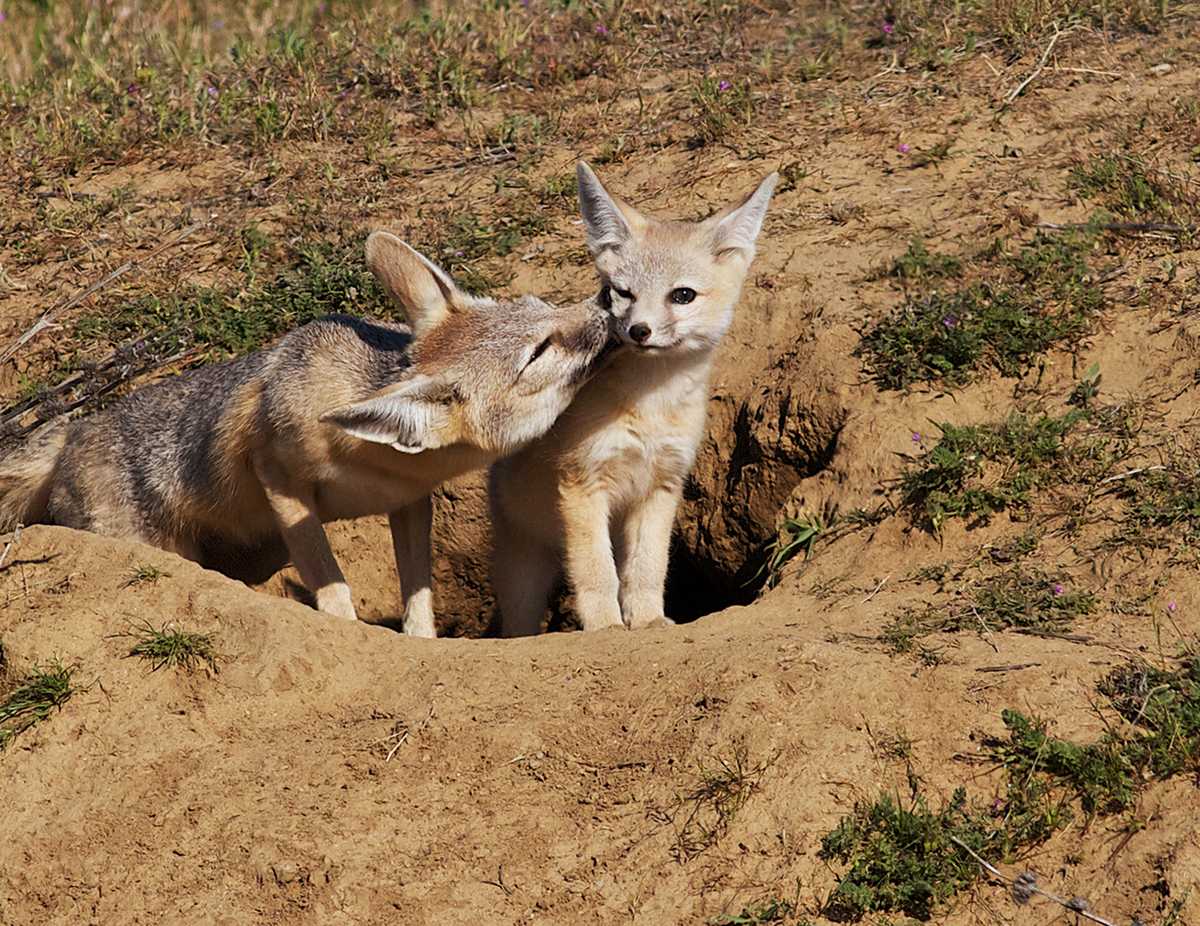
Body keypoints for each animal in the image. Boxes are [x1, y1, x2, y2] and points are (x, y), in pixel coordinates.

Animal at [0, 231, 617, 637]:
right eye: (538, 352)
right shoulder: (279, 480)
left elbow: (417, 591)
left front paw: (419, 640)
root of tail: (75, 429)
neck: (374, 465)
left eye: (542, 305)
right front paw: (349, 627)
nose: (608, 307)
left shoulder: (409, 502)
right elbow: (331, 579)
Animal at [489, 162, 777, 636]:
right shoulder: (583, 484)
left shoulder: (662, 486)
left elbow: (646, 569)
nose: (639, 331)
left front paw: (647, 622)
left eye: (682, 295)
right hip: (524, 573)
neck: (651, 407)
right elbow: (596, 572)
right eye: (622, 293)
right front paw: (605, 626)